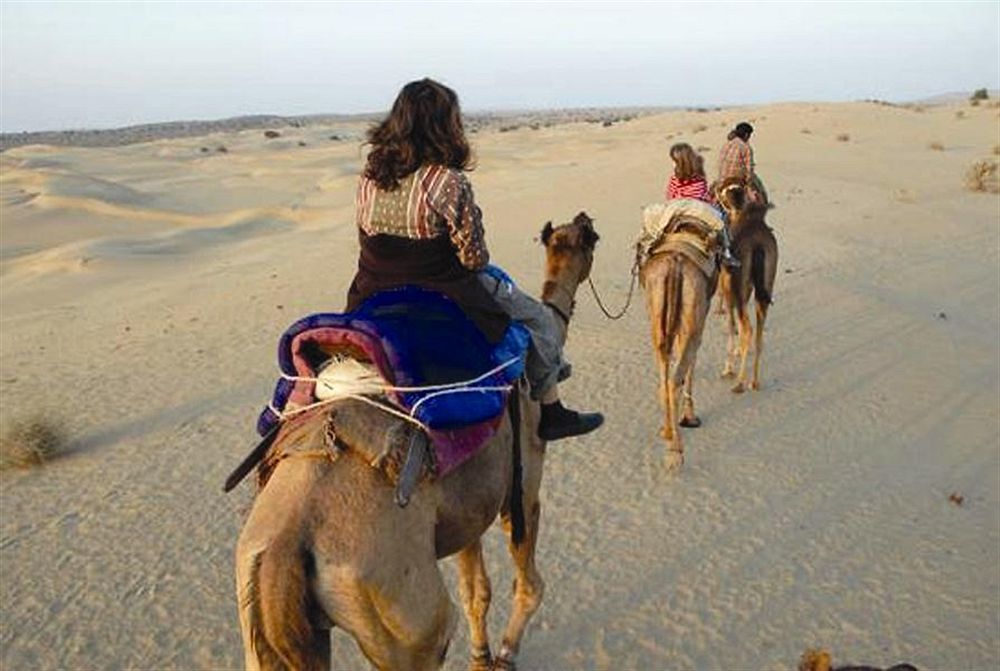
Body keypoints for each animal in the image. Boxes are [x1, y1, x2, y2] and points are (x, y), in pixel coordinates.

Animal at [234, 213, 600, 668]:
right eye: (590, 238)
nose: (585, 217)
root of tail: (284, 550)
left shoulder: (468, 508)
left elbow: (476, 592)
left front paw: (480, 656)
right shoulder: (522, 486)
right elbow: (530, 588)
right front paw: (504, 654)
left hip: (262, 617)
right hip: (406, 619)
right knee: (436, 628)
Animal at [640, 210, 720, 472]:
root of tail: (675, 264)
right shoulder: (701, 316)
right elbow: (692, 363)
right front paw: (690, 417)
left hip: (655, 308)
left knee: (664, 368)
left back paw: (666, 430)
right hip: (692, 310)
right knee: (675, 375)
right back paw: (676, 450)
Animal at [716, 176, 776, 394]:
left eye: (726, 189)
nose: (715, 188)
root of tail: (758, 245)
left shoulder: (729, 288)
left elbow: (732, 324)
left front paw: (728, 368)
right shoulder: (746, 288)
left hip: (738, 288)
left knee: (748, 328)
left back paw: (740, 383)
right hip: (764, 287)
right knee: (758, 333)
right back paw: (754, 381)